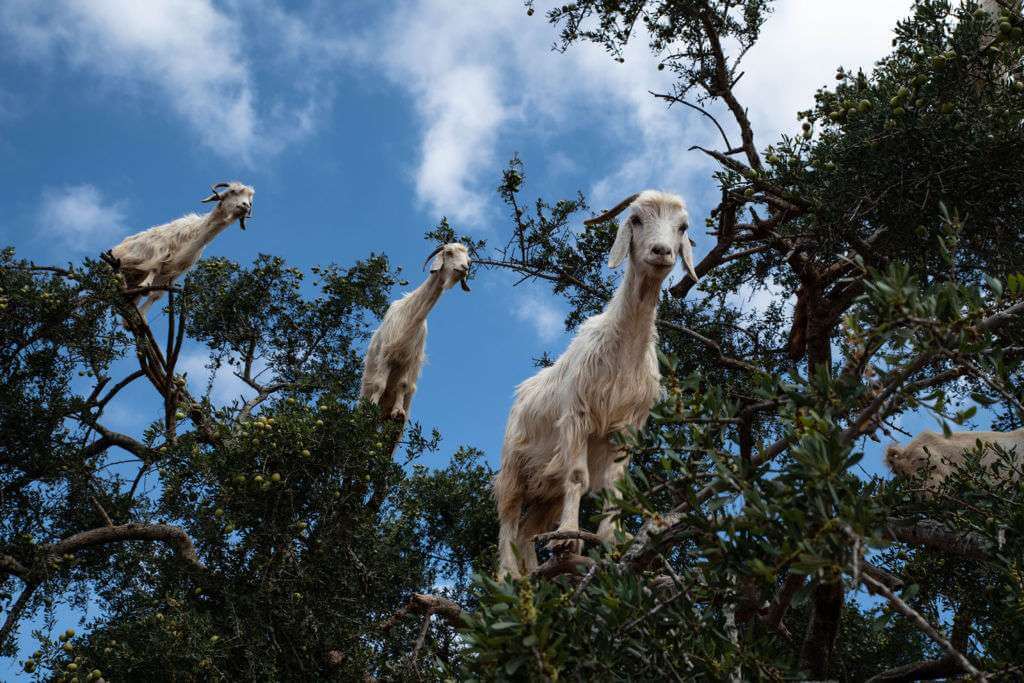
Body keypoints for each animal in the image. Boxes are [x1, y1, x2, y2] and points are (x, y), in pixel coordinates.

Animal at [105, 182, 254, 318]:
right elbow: (154, 268)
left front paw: (140, 315)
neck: (196, 233)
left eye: (250, 200)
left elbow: (156, 295)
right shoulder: (161, 251)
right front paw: (145, 285)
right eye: (232, 192)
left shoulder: (175, 272)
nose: (245, 206)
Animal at [360, 243, 471, 422]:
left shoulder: (409, 358)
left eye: (469, 260)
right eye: (449, 252)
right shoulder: (386, 354)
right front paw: (372, 405)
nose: (464, 268)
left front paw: (398, 411)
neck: (411, 315)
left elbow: (402, 384)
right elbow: (379, 384)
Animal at [494, 190, 699, 578]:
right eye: (636, 219)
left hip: (547, 486)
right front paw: (568, 538)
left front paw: (610, 540)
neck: (622, 354)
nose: (662, 251)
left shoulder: (627, 427)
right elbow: (578, 477)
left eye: (682, 227)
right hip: (514, 466)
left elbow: (614, 487)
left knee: (529, 529)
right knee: (509, 521)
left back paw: (536, 575)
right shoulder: (577, 416)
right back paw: (508, 576)